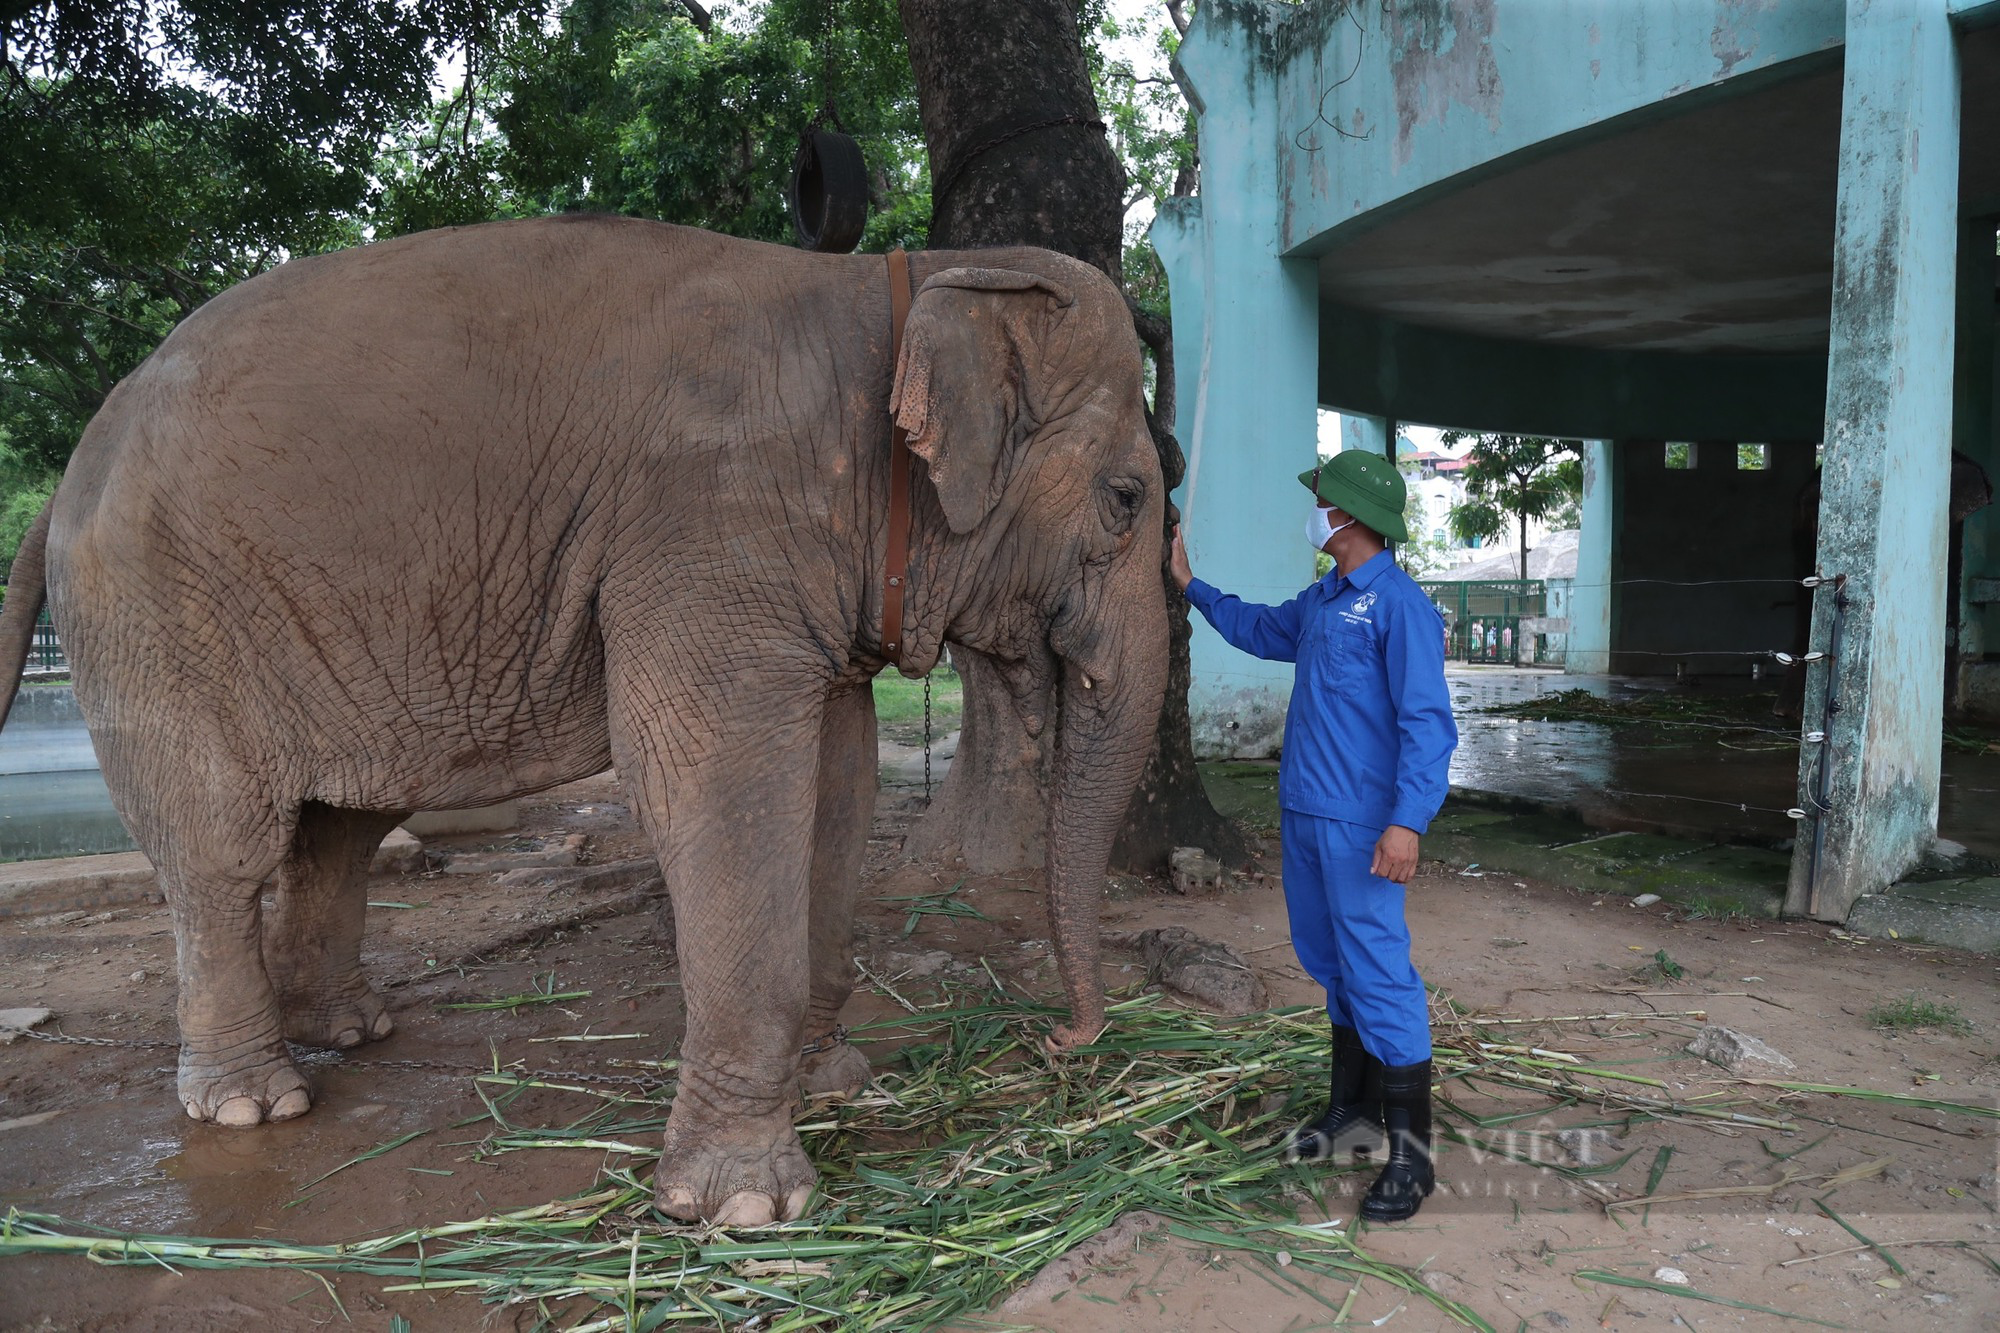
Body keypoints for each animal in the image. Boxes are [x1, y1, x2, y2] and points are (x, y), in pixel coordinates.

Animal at [0, 213, 1168, 1216]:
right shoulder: (709, 526)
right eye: (1127, 501)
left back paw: (351, 1028)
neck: (908, 278)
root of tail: (66, 478)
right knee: (220, 849)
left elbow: (838, 777)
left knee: (340, 825)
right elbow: (717, 784)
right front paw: (743, 1204)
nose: (1062, 1045)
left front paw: (832, 1080)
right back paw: (255, 1101)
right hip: (157, 618)